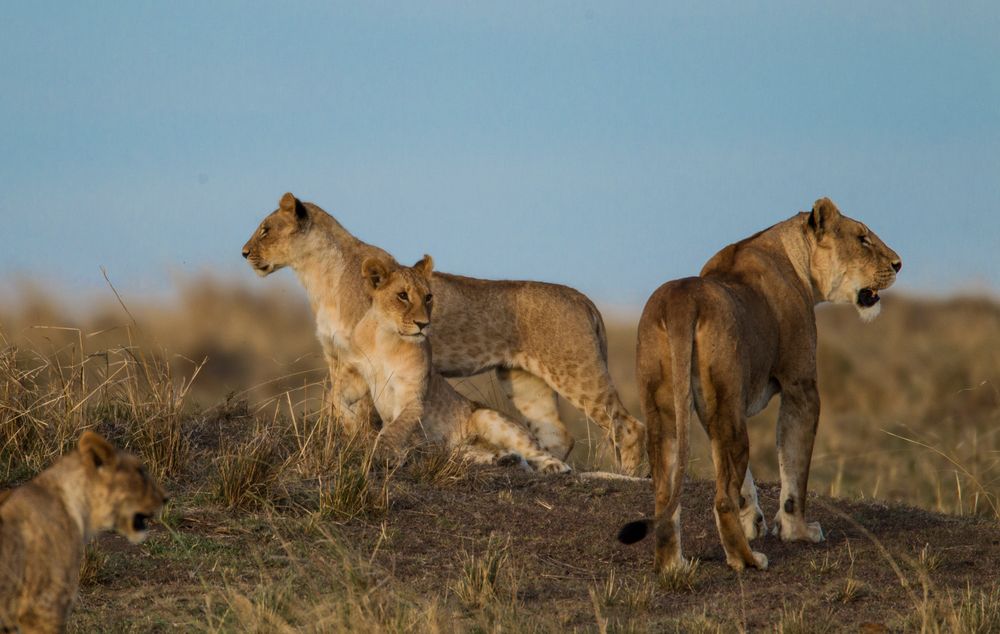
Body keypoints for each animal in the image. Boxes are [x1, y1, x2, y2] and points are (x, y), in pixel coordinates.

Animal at [346, 254, 572, 472]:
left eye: (428, 297)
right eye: (402, 295)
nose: (423, 324)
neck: (386, 338)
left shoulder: (413, 398)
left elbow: (395, 428)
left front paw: (386, 454)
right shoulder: (359, 373)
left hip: (486, 416)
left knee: (538, 453)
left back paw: (554, 466)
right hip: (457, 450)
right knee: (481, 454)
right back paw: (505, 459)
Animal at [620, 198, 904, 568]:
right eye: (862, 239)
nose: (899, 264)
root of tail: (682, 301)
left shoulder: (712, 409)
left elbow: (747, 483)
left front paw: (754, 522)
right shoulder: (801, 386)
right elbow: (795, 469)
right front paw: (798, 531)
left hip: (668, 410)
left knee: (666, 495)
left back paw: (673, 565)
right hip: (727, 408)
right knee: (722, 498)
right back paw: (747, 560)